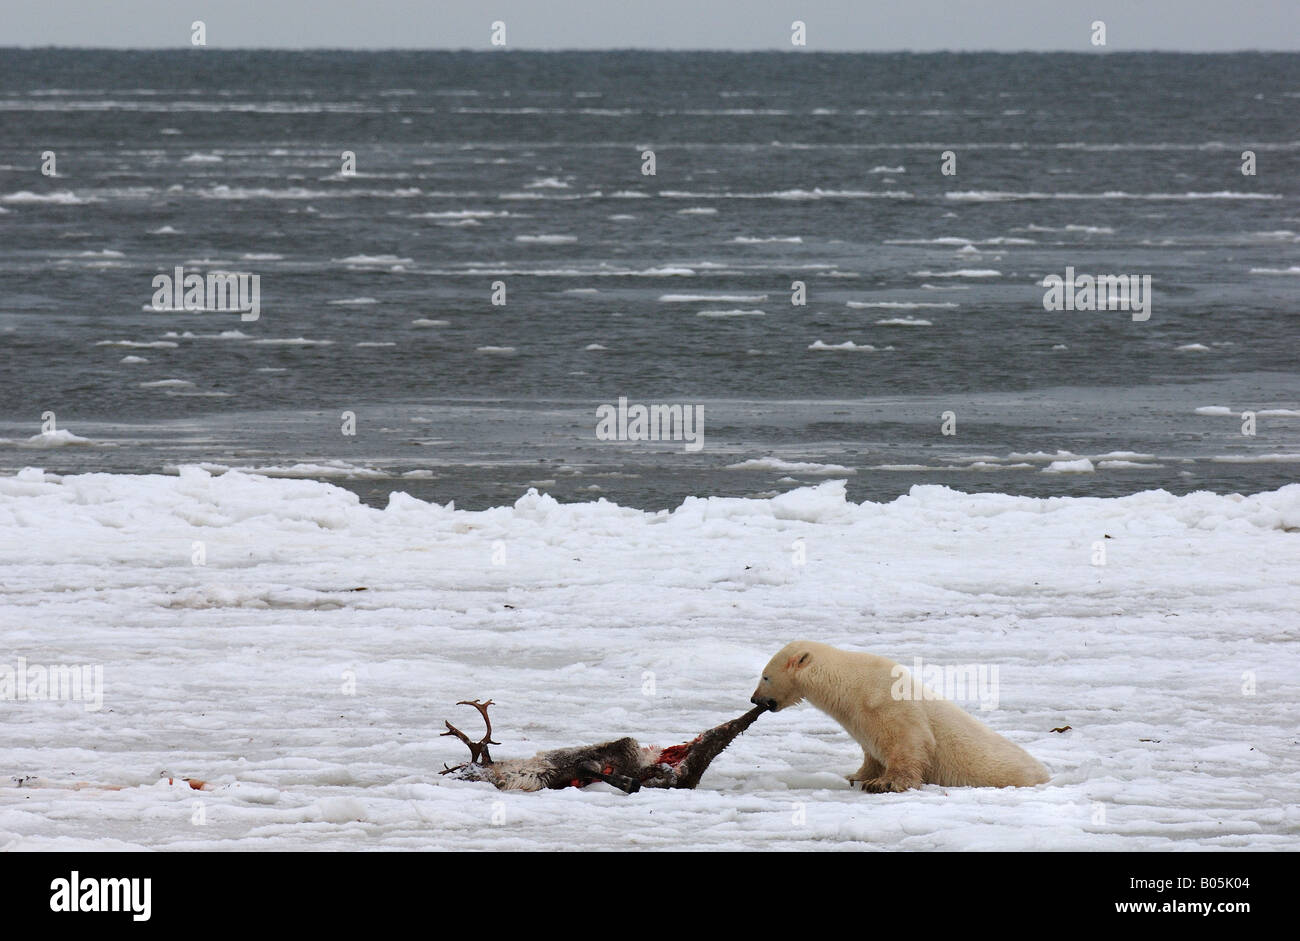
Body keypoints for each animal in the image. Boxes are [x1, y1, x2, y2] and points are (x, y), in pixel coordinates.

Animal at [754, 642, 1045, 790]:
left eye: (765, 676)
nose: (754, 699)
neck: (850, 683)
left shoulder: (887, 701)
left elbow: (909, 742)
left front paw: (884, 783)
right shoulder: (859, 720)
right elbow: (872, 752)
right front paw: (857, 776)